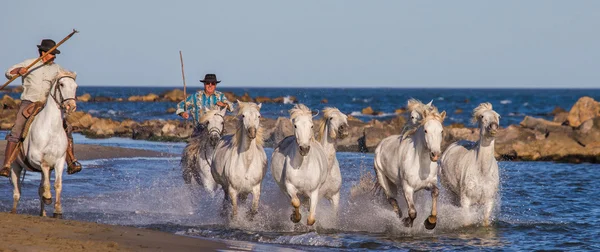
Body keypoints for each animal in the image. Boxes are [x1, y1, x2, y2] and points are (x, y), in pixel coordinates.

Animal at [10, 70, 78, 217]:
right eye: (61, 84)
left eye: (75, 86)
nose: (71, 106)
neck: (51, 128)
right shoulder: (36, 158)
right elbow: (45, 169)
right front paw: (48, 197)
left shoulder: (59, 161)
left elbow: (57, 185)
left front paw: (57, 210)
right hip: (15, 167)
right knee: (17, 192)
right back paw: (13, 211)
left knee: (39, 188)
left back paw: (43, 213)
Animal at [372, 100, 448, 228]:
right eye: (425, 130)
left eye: (441, 131)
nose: (435, 154)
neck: (420, 164)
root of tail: (382, 143)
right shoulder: (407, 188)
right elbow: (412, 212)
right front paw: (406, 222)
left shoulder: (428, 184)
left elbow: (435, 192)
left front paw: (431, 221)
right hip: (382, 177)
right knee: (391, 198)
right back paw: (399, 214)